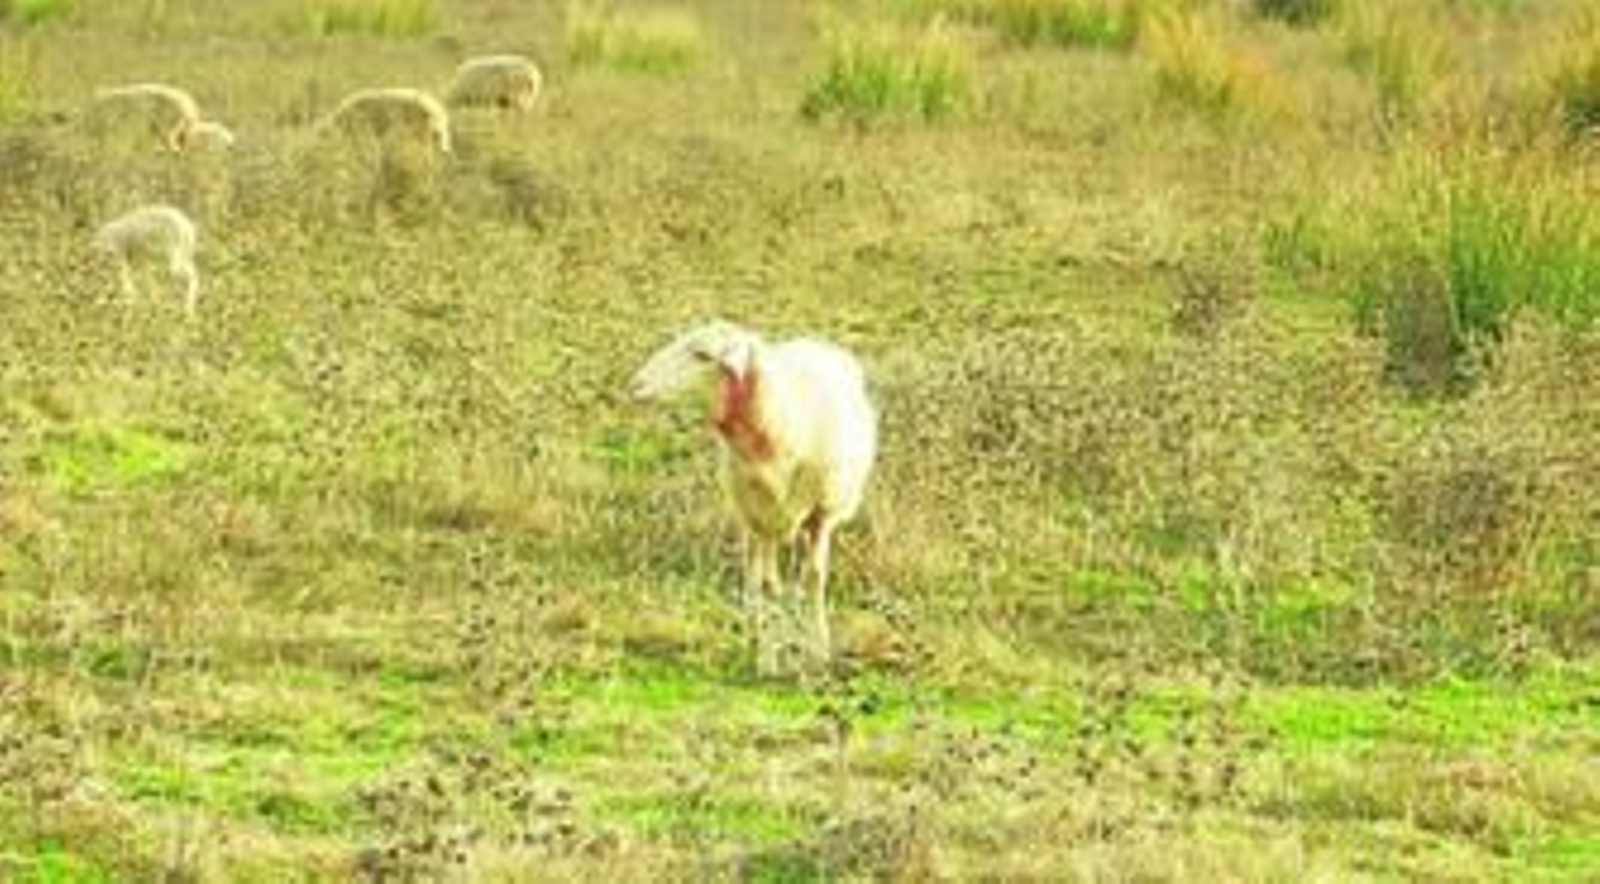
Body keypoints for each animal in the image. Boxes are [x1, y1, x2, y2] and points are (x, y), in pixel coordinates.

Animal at [630, 320, 879, 676]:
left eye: (701, 354)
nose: (636, 385)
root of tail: (811, 340)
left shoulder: (822, 515)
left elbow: (814, 579)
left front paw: (818, 654)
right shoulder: (763, 519)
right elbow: (768, 586)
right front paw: (768, 659)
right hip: (749, 518)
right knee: (752, 571)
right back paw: (753, 631)